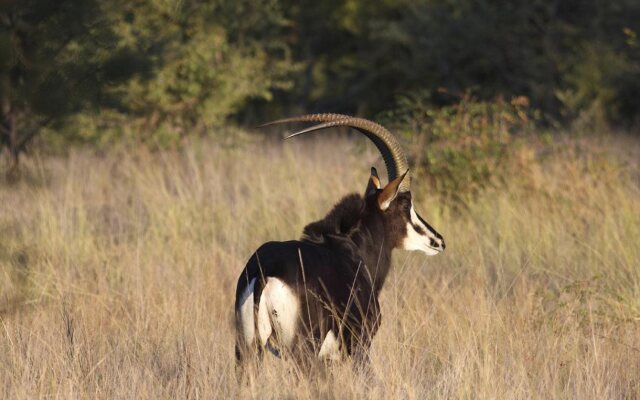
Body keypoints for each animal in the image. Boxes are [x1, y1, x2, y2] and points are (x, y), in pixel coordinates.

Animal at [234, 113, 444, 372]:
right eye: (405, 204)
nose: (438, 241)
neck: (354, 249)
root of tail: (264, 272)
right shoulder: (359, 345)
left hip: (246, 350)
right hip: (305, 350)